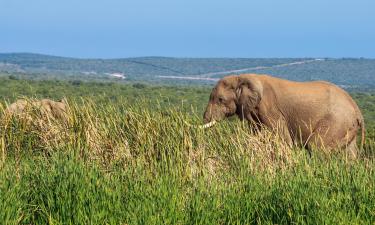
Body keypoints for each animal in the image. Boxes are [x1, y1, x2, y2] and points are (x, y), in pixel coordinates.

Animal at [204, 74, 366, 158]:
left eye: (220, 99)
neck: (241, 78)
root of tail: (357, 110)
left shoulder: (270, 109)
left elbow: (282, 139)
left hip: (336, 121)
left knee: (316, 147)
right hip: (346, 126)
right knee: (350, 155)